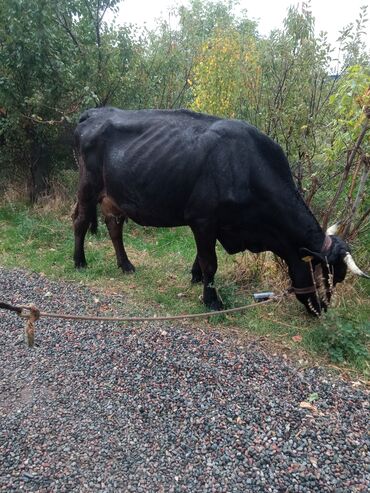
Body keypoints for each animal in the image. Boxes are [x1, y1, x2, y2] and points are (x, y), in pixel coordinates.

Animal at [71, 107, 368, 316]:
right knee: (80, 220)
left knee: (114, 227)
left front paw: (196, 278)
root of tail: (96, 112)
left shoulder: (216, 224)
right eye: (324, 273)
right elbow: (210, 261)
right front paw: (211, 300)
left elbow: (202, 257)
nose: (322, 310)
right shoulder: (202, 218)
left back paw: (126, 265)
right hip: (87, 185)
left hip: (114, 197)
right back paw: (80, 261)